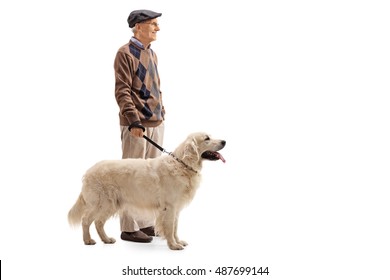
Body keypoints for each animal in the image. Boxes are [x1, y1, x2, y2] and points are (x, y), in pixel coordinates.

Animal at [67, 132, 225, 250]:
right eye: (207, 138)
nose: (224, 141)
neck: (182, 165)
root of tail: (88, 171)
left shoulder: (176, 208)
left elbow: (175, 227)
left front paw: (178, 241)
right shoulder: (170, 207)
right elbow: (170, 227)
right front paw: (173, 245)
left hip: (111, 204)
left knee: (98, 222)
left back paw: (106, 239)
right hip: (101, 202)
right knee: (86, 220)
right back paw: (88, 240)